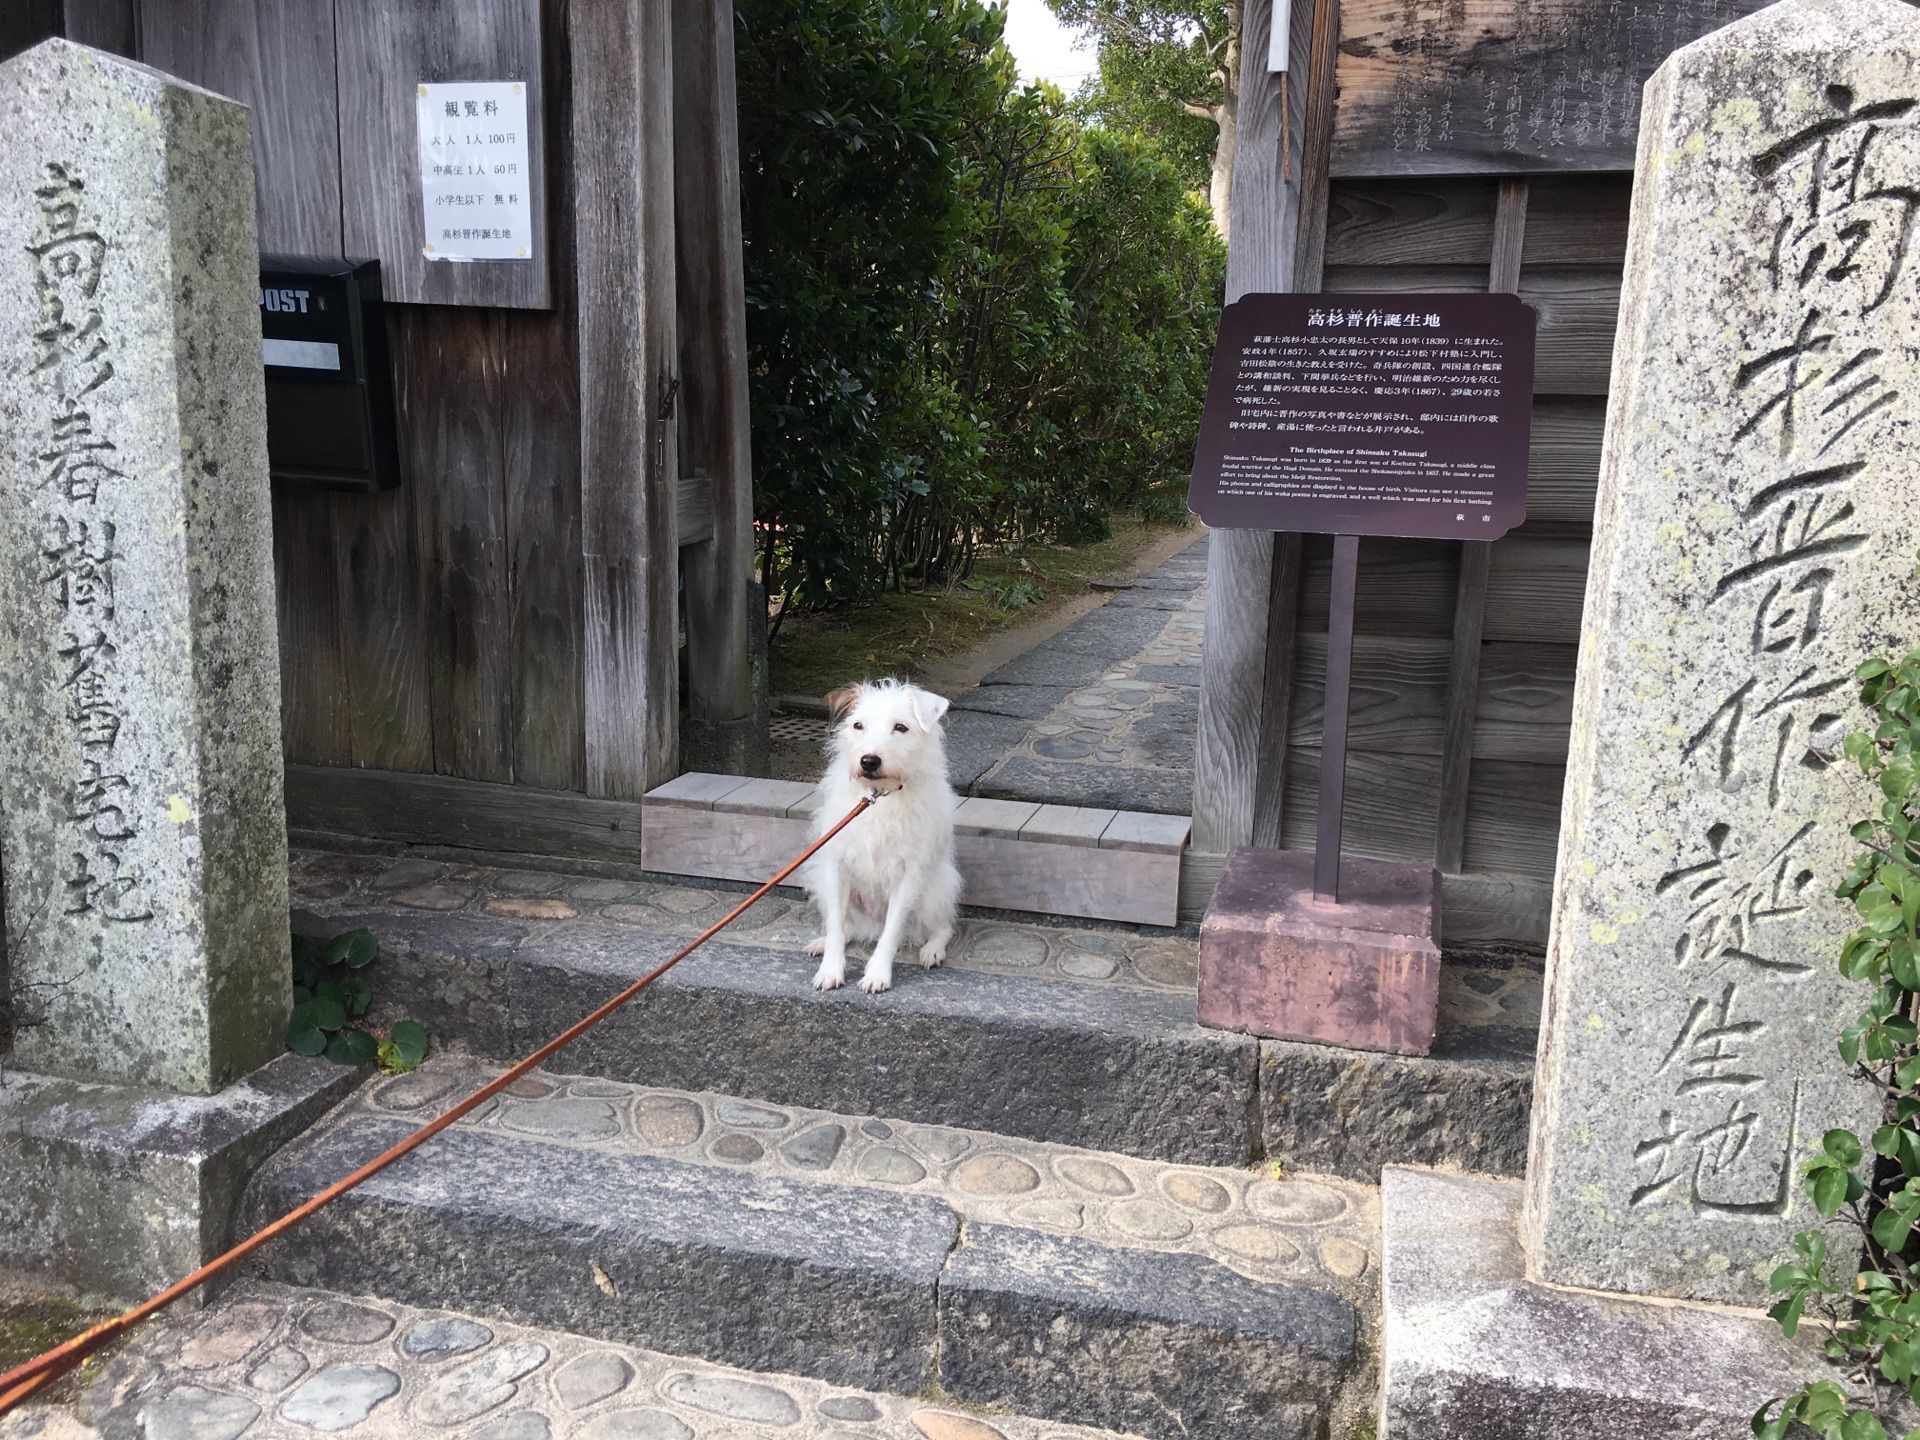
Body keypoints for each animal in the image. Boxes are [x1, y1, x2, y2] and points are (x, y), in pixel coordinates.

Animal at [806, 683, 967, 998]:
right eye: (858, 725)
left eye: (900, 727)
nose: (869, 761)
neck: (878, 797)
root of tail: (871, 924)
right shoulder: (836, 867)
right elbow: (836, 927)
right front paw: (830, 970)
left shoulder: (908, 874)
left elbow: (892, 931)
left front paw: (877, 974)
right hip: (822, 882)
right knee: (845, 926)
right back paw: (823, 942)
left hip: (936, 888)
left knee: (942, 926)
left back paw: (932, 950)